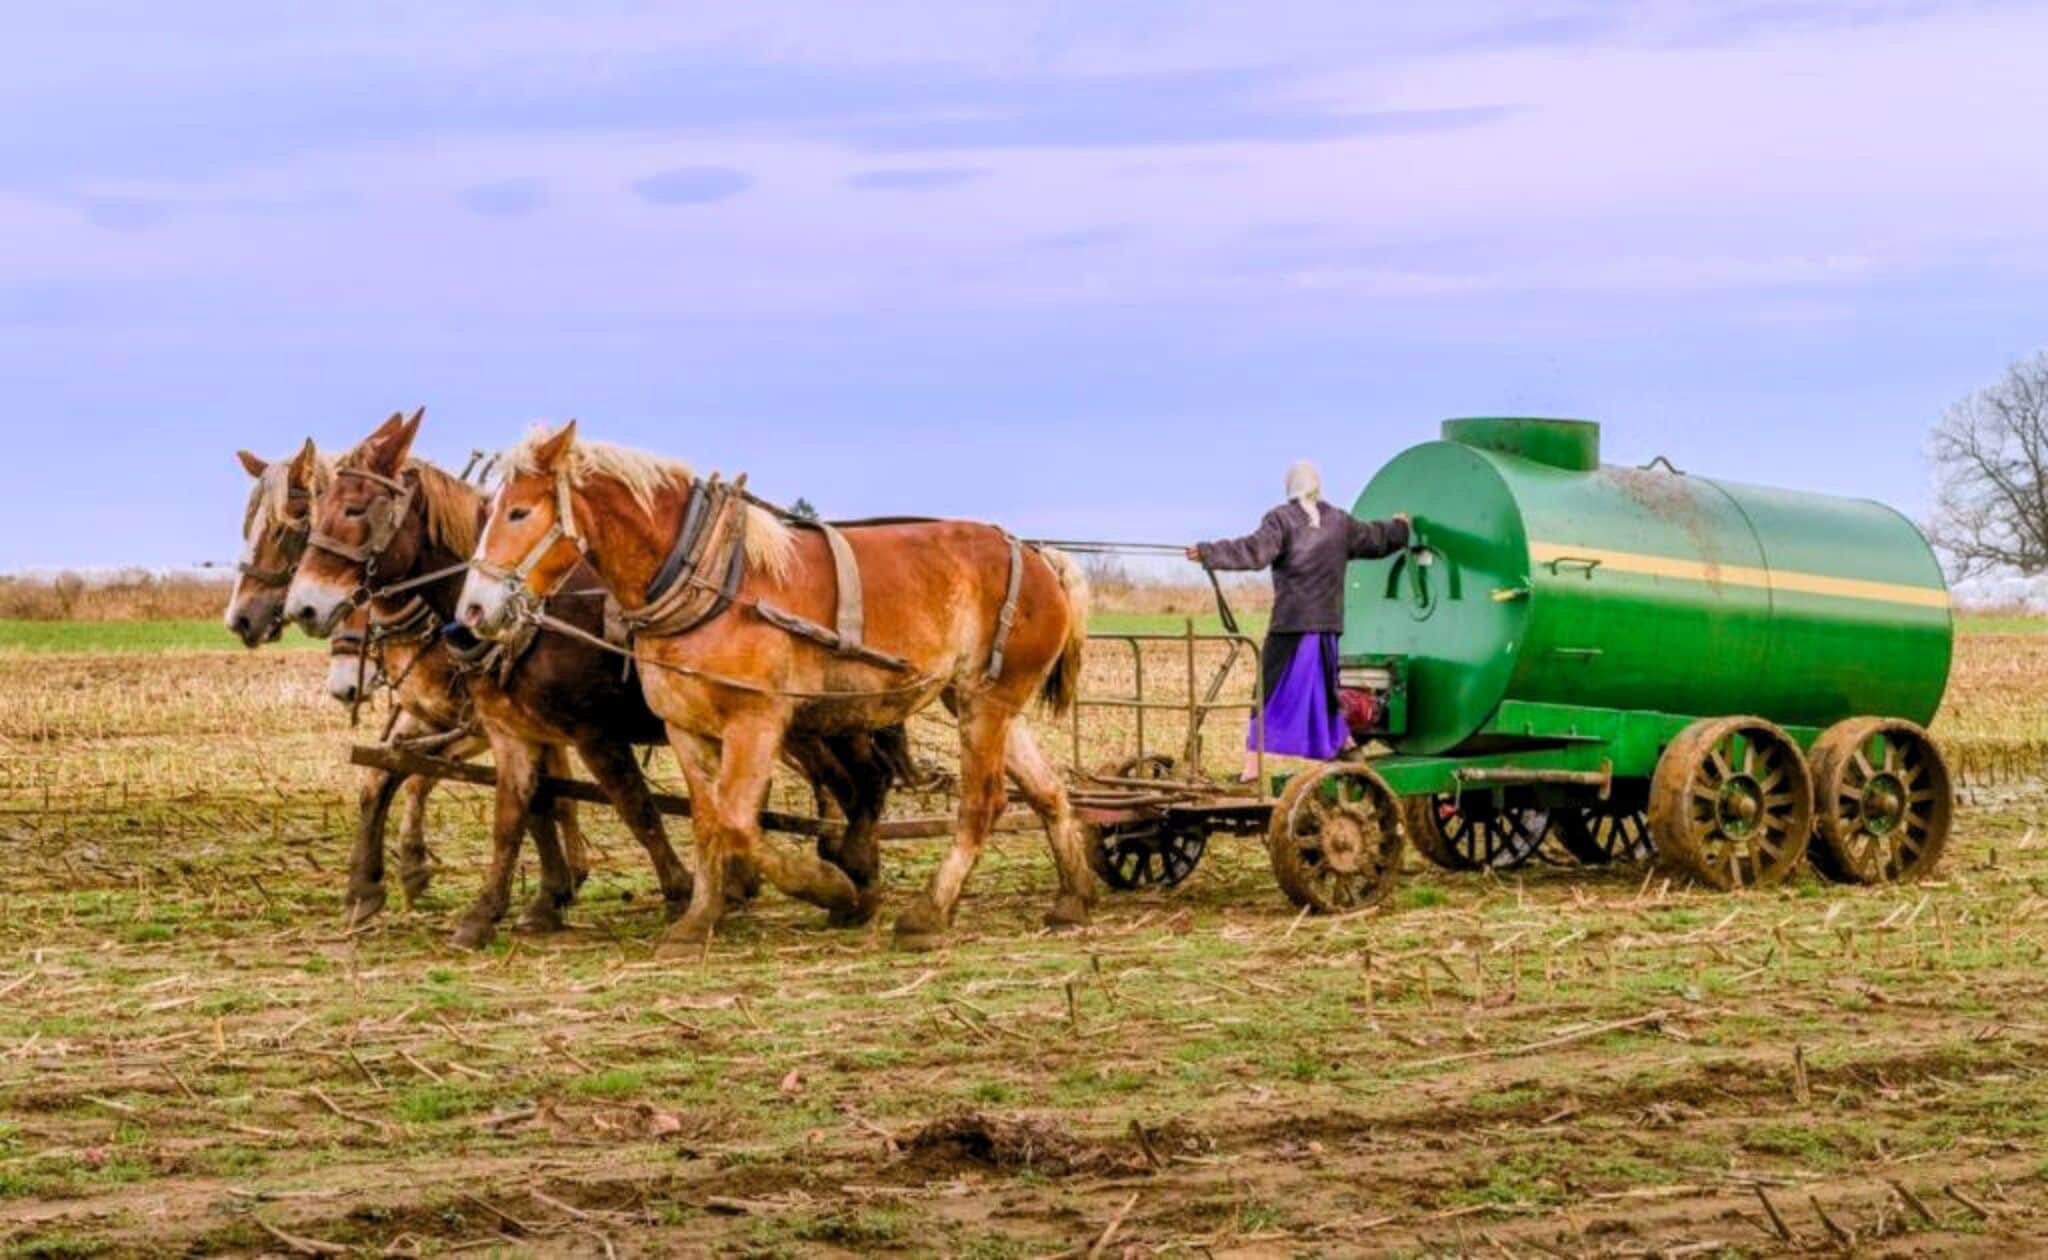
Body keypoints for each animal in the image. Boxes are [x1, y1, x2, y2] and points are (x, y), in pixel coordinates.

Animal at [284, 410, 903, 948]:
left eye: (355, 508)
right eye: (316, 509)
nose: (305, 607)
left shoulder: (589, 731)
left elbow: (634, 808)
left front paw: (678, 892)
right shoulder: (513, 729)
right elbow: (515, 809)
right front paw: (503, 907)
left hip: (816, 719)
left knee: (859, 782)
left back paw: (843, 874)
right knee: (850, 783)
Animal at [456, 421, 1096, 952]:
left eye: (518, 512)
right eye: (486, 512)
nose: (471, 613)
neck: (712, 580)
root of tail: (1038, 554)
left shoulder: (756, 721)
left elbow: (738, 821)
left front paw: (830, 887)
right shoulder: (684, 725)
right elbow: (708, 821)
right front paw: (697, 921)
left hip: (986, 703)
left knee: (981, 802)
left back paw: (928, 912)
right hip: (975, 698)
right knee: (1047, 790)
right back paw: (1073, 898)